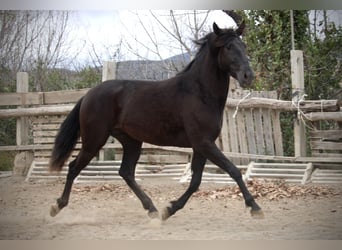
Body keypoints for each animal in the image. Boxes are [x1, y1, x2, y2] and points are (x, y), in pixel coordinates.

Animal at [48, 21, 262, 221]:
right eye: (228, 47)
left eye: (243, 45)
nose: (248, 76)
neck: (199, 93)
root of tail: (88, 95)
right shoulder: (204, 143)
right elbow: (233, 170)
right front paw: (254, 207)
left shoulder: (201, 145)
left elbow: (196, 182)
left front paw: (169, 210)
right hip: (94, 140)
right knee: (74, 167)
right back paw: (57, 206)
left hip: (131, 142)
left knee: (126, 172)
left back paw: (152, 209)